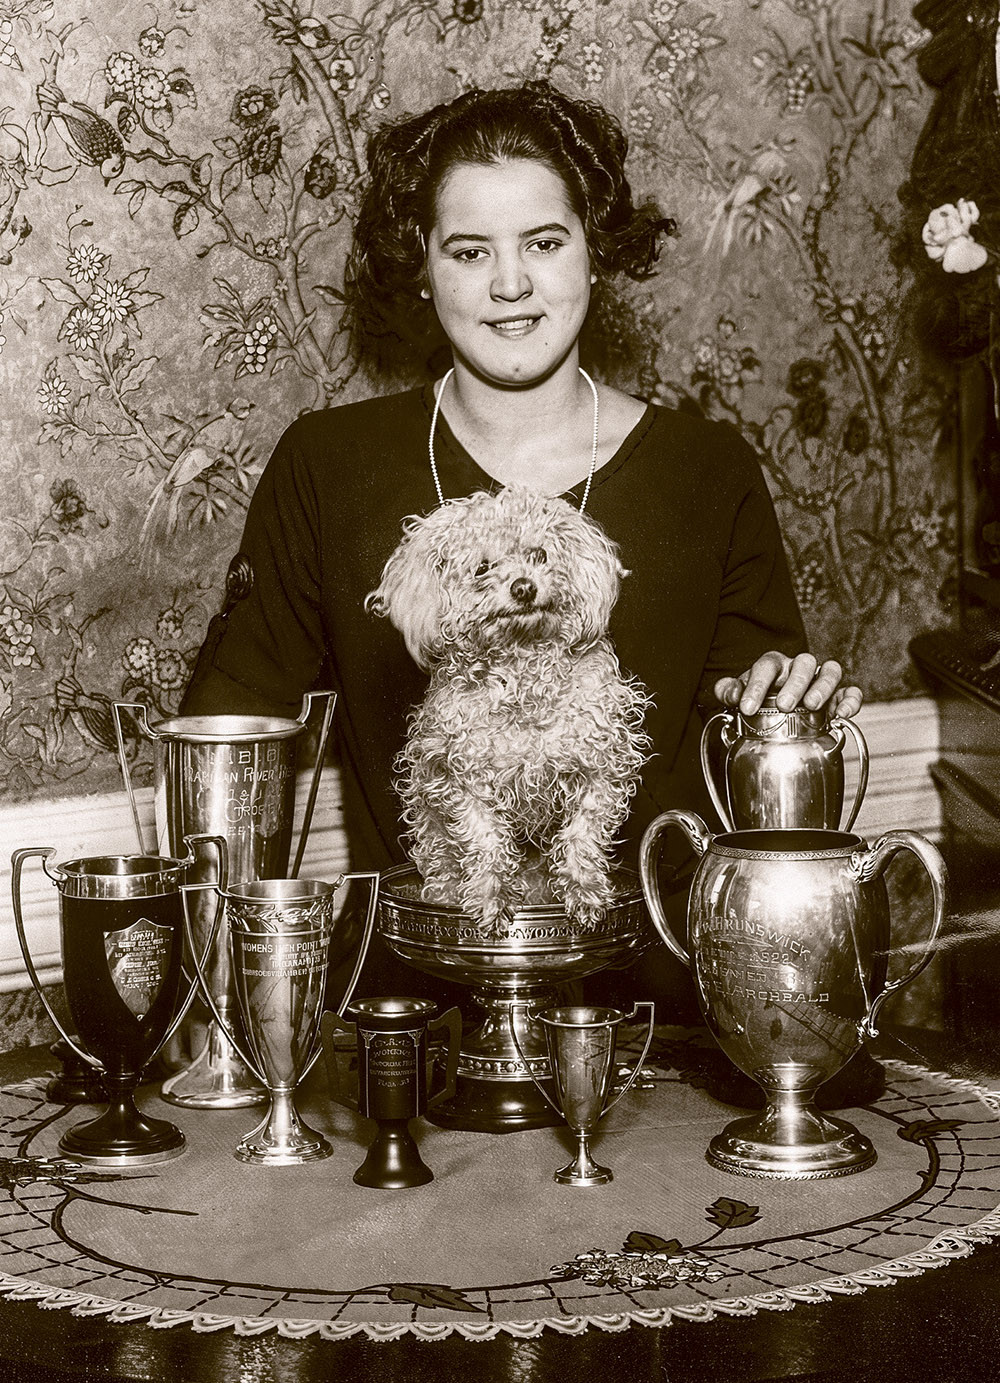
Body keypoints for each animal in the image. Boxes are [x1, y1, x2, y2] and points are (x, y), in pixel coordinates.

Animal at [366, 486, 651, 937]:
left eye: (539, 554)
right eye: (483, 567)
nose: (523, 587)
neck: (523, 675)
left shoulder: (602, 763)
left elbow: (583, 831)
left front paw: (584, 888)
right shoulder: (458, 775)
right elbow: (485, 838)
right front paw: (491, 894)